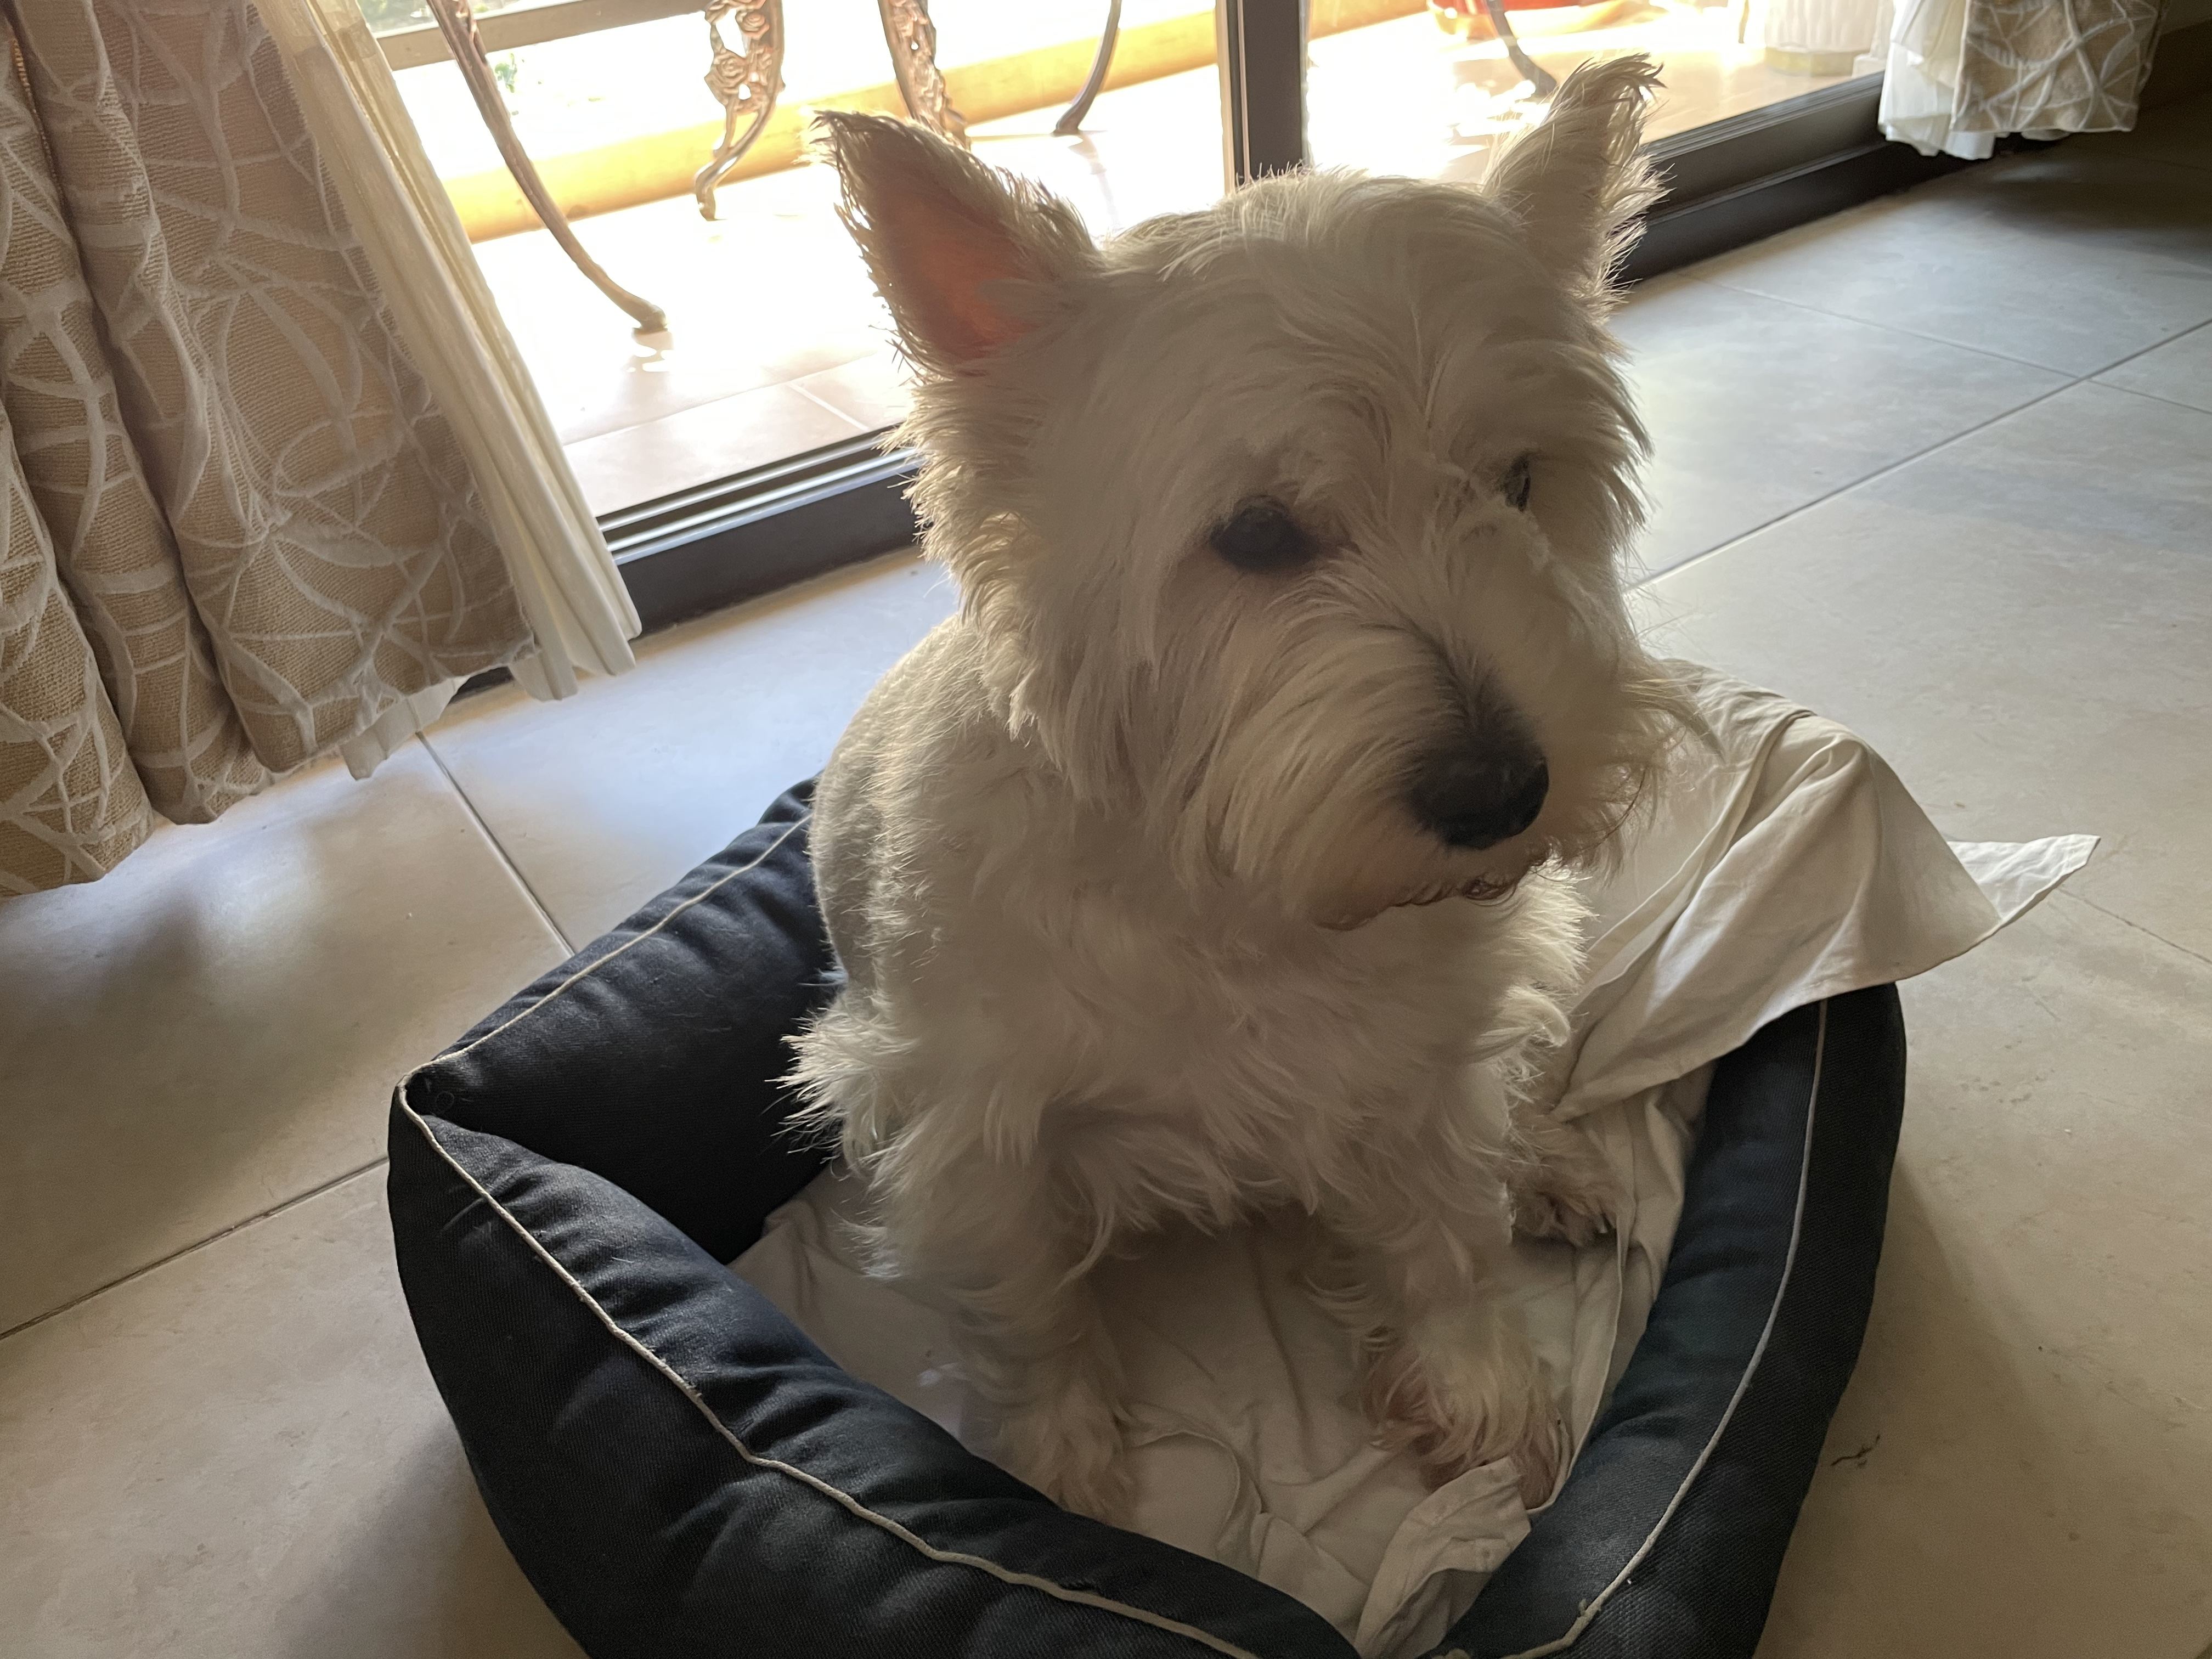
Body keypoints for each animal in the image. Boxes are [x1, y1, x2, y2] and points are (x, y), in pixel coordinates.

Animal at [792, 55, 1692, 1525]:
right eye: (1256, 535)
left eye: (1517, 482)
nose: (1502, 792)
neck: (1245, 895)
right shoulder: (972, 1133)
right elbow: (1028, 1310)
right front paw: (1057, 1462)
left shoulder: (1422, 1063)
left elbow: (1445, 1225)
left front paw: (1480, 1392)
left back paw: (1554, 1164)